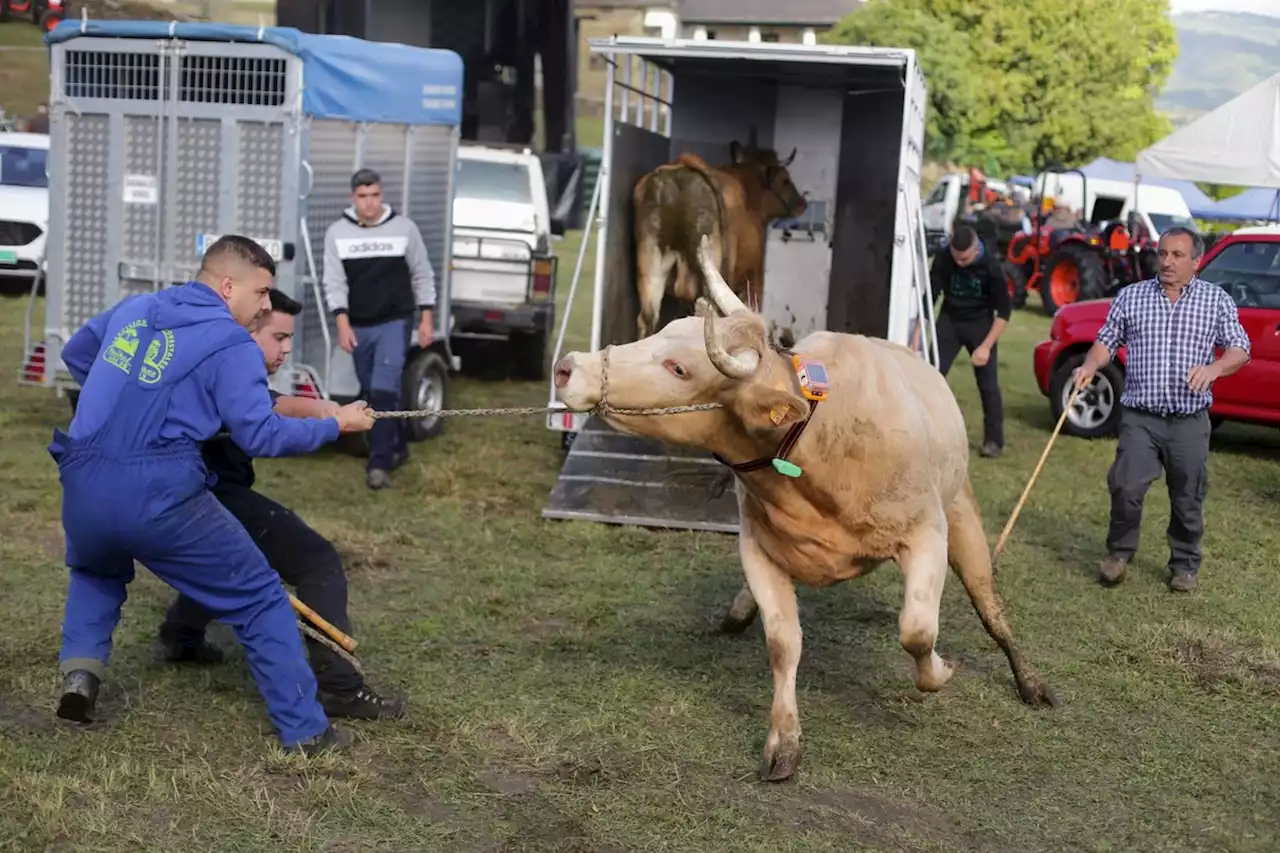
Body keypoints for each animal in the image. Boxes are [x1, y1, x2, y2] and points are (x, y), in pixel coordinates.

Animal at [552, 235, 1059, 778]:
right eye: (664, 333)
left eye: (679, 368)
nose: (568, 367)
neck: (820, 443)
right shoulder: (759, 550)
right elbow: (783, 643)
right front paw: (784, 740)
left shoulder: (927, 534)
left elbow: (918, 630)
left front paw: (941, 671)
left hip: (962, 514)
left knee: (990, 606)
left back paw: (1031, 683)